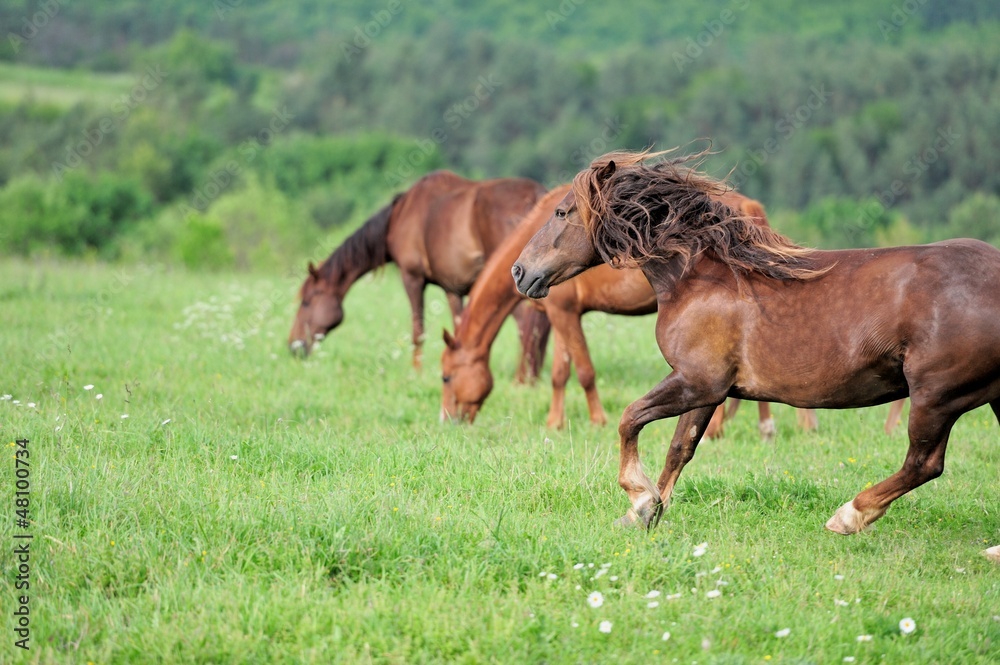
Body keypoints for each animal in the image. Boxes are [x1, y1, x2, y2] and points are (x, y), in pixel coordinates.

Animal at [290, 170, 552, 378]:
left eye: (306, 302)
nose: (293, 347)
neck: (401, 214)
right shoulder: (453, 288)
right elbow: (458, 327)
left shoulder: (412, 278)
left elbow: (418, 331)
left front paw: (416, 372)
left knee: (527, 326)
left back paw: (524, 376)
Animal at [512, 148, 1000, 548]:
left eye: (561, 211)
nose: (520, 272)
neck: (700, 279)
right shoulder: (707, 390)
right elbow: (680, 448)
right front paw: (643, 512)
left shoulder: (697, 381)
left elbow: (630, 418)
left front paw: (638, 494)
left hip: (935, 396)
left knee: (924, 462)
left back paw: (849, 516)